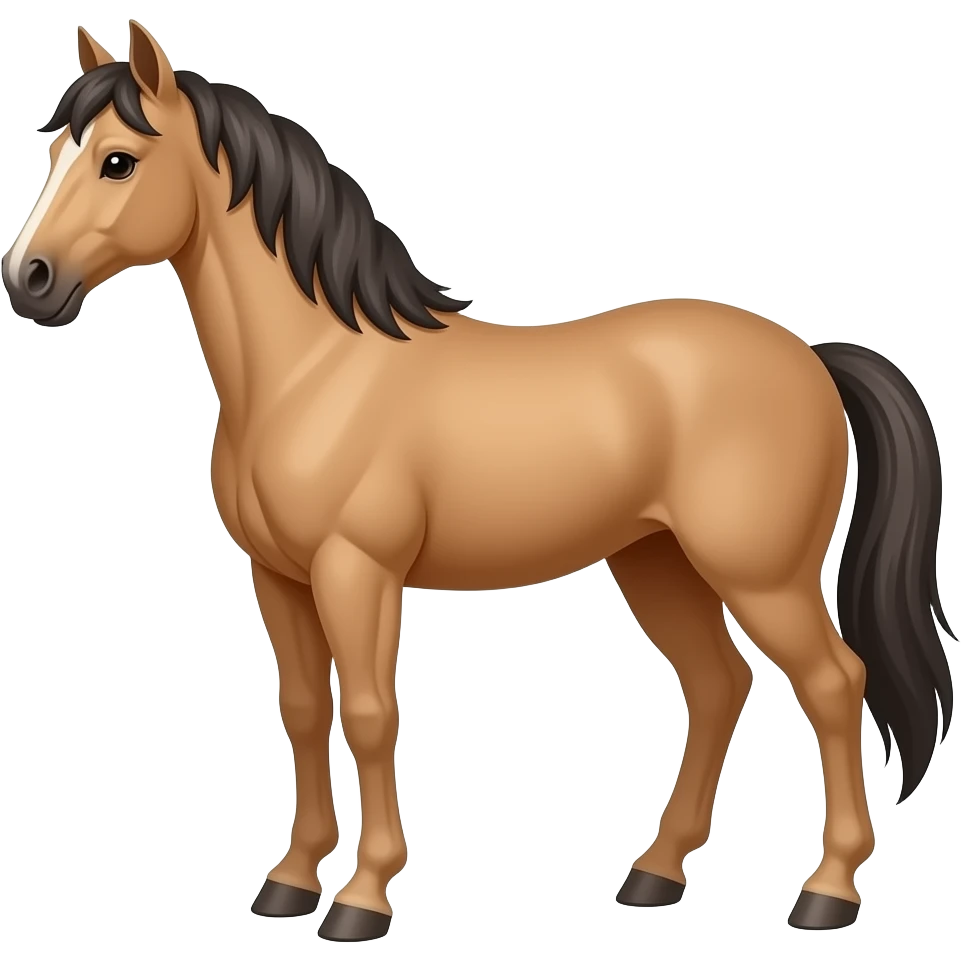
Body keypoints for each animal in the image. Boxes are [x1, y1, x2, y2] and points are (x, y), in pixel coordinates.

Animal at [3, 20, 955, 942]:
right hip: (657, 563)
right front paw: (288, 881)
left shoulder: (358, 571)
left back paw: (826, 892)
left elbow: (371, 714)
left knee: (832, 683)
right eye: (57, 152)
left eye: (118, 159)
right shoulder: (276, 576)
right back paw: (655, 874)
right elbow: (304, 709)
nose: (29, 281)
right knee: (719, 685)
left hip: (760, 574)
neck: (314, 370)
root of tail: (810, 355)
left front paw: (361, 897)